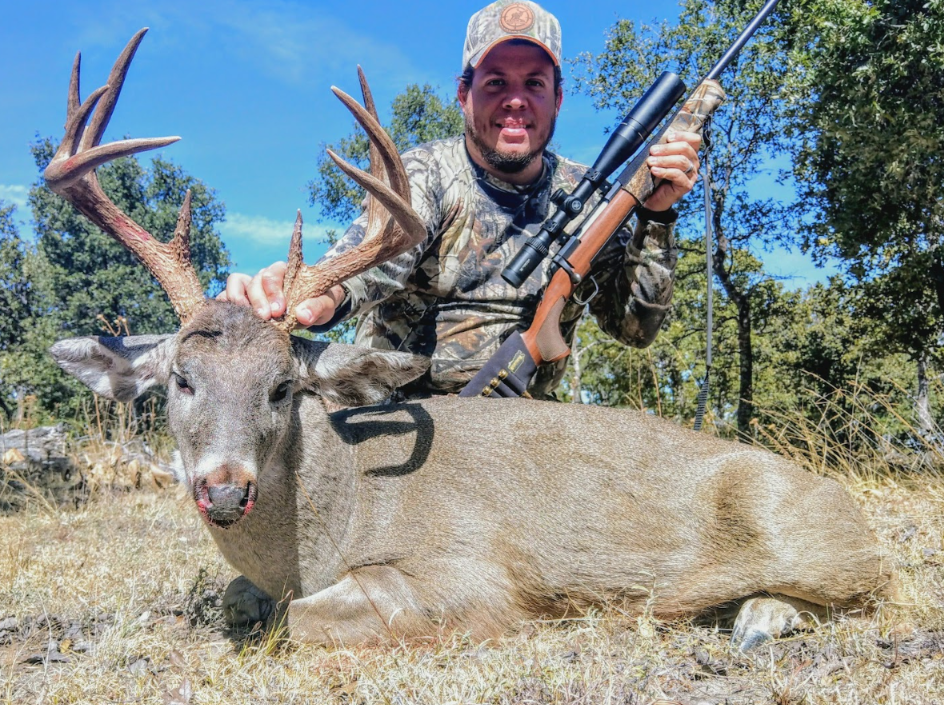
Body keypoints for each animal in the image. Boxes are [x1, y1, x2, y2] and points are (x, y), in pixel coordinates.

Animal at [47, 29, 896, 651]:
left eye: (282, 385)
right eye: (181, 379)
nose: (224, 490)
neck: (332, 519)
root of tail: (851, 505)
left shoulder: (470, 577)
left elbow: (302, 620)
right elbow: (237, 599)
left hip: (817, 541)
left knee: (870, 588)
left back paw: (759, 616)